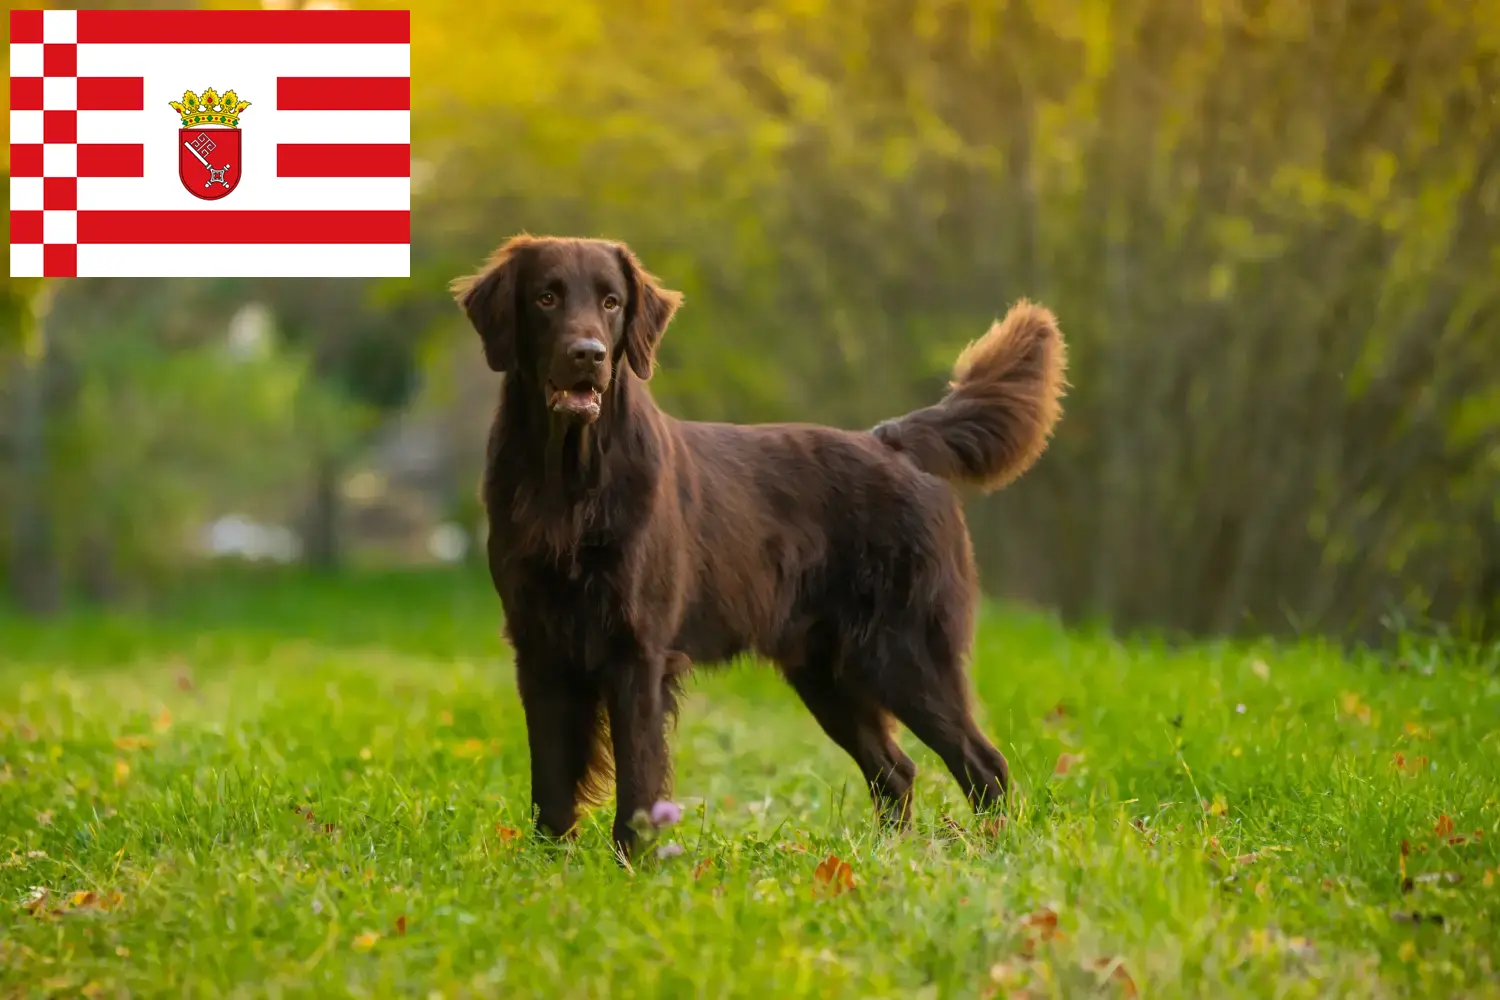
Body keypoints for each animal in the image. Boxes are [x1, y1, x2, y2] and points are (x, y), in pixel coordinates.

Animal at [447, 235, 1068, 851]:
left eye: (611, 302)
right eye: (547, 297)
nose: (588, 354)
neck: (570, 483)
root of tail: (893, 443)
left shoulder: (638, 649)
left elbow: (639, 776)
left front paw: (633, 861)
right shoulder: (539, 645)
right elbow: (551, 776)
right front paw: (550, 861)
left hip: (905, 651)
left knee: (983, 762)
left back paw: (994, 849)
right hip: (827, 671)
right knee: (898, 770)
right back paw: (890, 853)